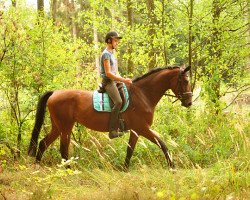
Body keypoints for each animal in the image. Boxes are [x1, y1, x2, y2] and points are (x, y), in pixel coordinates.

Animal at [28, 66, 192, 169]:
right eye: (185, 81)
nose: (189, 102)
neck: (143, 94)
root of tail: (55, 93)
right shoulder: (143, 128)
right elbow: (162, 144)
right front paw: (172, 166)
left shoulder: (136, 131)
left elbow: (130, 150)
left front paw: (124, 169)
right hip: (65, 127)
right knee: (63, 149)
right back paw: (69, 170)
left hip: (58, 127)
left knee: (43, 143)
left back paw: (38, 166)